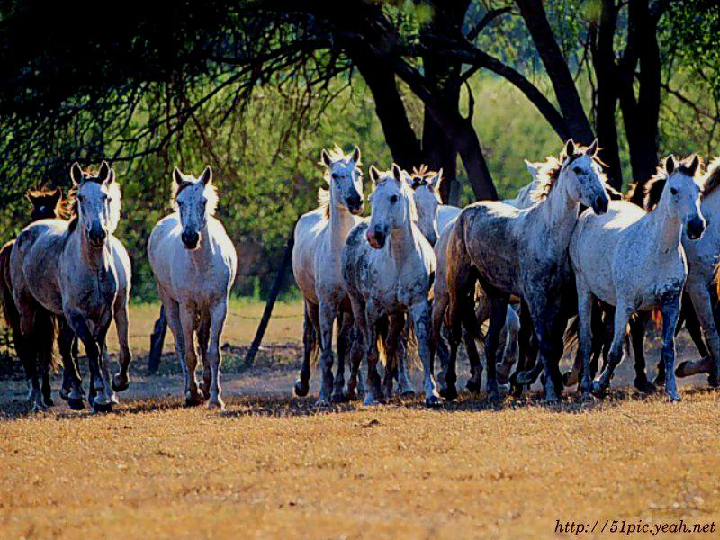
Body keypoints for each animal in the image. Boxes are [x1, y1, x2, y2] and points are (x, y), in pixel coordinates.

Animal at [148, 166, 238, 410]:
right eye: (179, 202)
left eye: (203, 201)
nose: (190, 238)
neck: (199, 263)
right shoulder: (187, 307)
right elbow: (189, 353)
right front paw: (192, 394)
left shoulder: (218, 306)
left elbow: (213, 352)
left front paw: (215, 398)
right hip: (170, 304)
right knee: (181, 343)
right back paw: (192, 389)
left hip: (204, 309)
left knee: (203, 339)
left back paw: (205, 386)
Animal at [290, 146, 362, 402]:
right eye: (335, 175)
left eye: (358, 173)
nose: (356, 200)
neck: (339, 252)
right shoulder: (327, 304)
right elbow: (326, 351)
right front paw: (323, 394)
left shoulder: (350, 305)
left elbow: (346, 347)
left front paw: (343, 389)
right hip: (310, 303)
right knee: (311, 338)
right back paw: (304, 385)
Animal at [344, 165, 438, 404]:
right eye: (371, 198)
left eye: (394, 197)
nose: (373, 236)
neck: (398, 259)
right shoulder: (372, 309)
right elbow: (371, 351)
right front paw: (370, 394)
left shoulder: (417, 305)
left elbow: (423, 348)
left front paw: (432, 392)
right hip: (357, 306)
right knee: (361, 345)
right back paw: (357, 390)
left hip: (396, 314)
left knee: (391, 345)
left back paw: (386, 389)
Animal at [568, 154, 704, 398]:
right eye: (674, 190)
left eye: (698, 189)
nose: (696, 226)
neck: (657, 252)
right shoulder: (626, 305)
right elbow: (614, 351)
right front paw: (598, 385)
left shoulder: (671, 305)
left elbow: (668, 350)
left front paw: (672, 392)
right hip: (585, 290)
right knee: (587, 337)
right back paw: (585, 385)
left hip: (611, 303)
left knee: (604, 335)